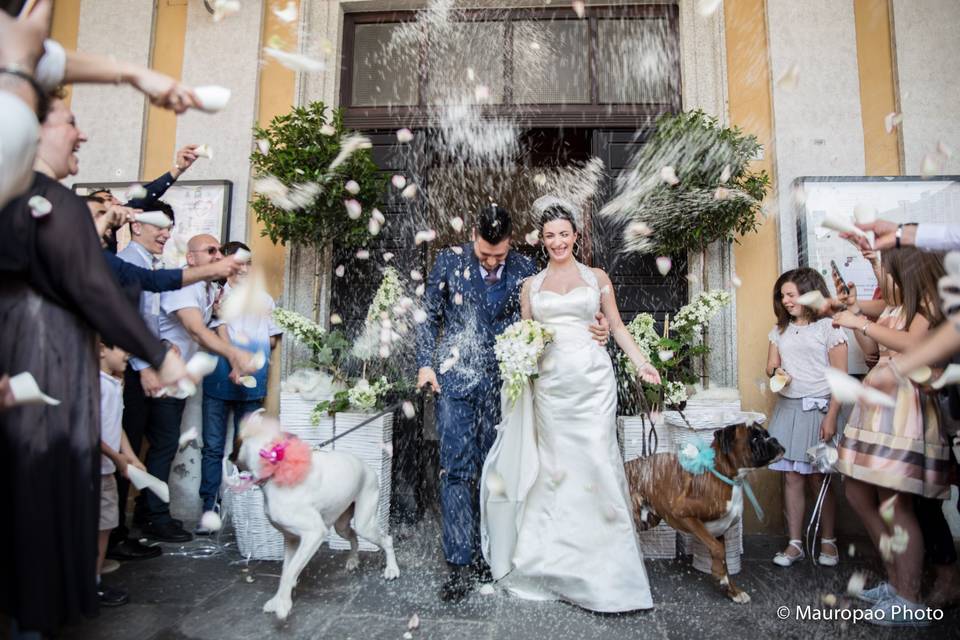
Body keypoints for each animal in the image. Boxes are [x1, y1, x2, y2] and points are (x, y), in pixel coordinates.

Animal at [234, 412, 400, 616]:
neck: (277, 470)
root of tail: (368, 467)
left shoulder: (314, 534)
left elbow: (290, 571)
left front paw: (282, 604)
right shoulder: (291, 539)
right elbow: (286, 570)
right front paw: (280, 598)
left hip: (365, 524)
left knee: (386, 539)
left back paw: (392, 569)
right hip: (341, 525)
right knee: (353, 536)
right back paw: (353, 560)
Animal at [628, 424, 784, 604]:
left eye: (767, 434)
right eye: (755, 438)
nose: (774, 440)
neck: (724, 476)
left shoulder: (719, 529)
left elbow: (723, 560)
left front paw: (733, 591)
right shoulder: (685, 516)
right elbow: (718, 550)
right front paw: (720, 576)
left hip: (647, 519)